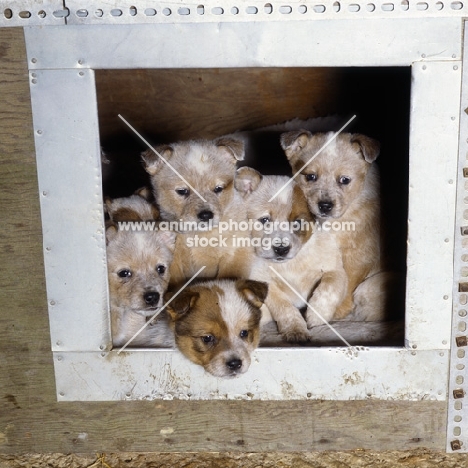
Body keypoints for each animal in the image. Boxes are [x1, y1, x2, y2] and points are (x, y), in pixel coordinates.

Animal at [236, 167, 346, 340]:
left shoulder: (336, 271)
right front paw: (295, 329)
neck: (292, 264)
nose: (281, 249)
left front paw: (316, 316)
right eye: (265, 220)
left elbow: (329, 288)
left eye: (298, 222)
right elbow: (284, 307)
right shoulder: (264, 281)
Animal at [280, 132, 386, 322]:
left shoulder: (358, 256)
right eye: (310, 177)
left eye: (344, 180)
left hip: (367, 288)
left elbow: (345, 284)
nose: (325, 206)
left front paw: (334, 312)